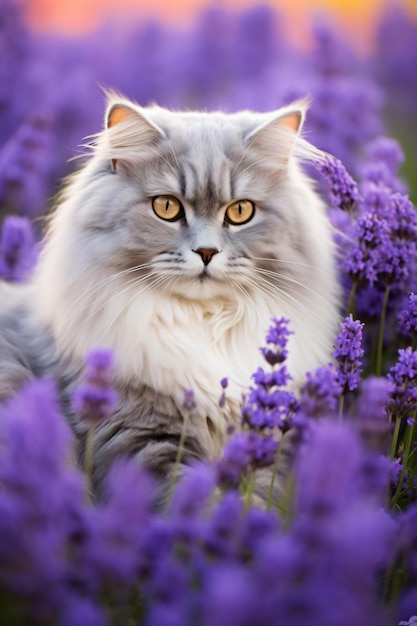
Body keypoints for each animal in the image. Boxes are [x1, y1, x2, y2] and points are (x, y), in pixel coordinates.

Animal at [0, 92, 338, 502]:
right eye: (167, 207)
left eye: (240, 211)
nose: (206, 252)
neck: (203, 324)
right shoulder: (144, 437)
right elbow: (190, 500)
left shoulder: (261, 437)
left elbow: (258, 499)